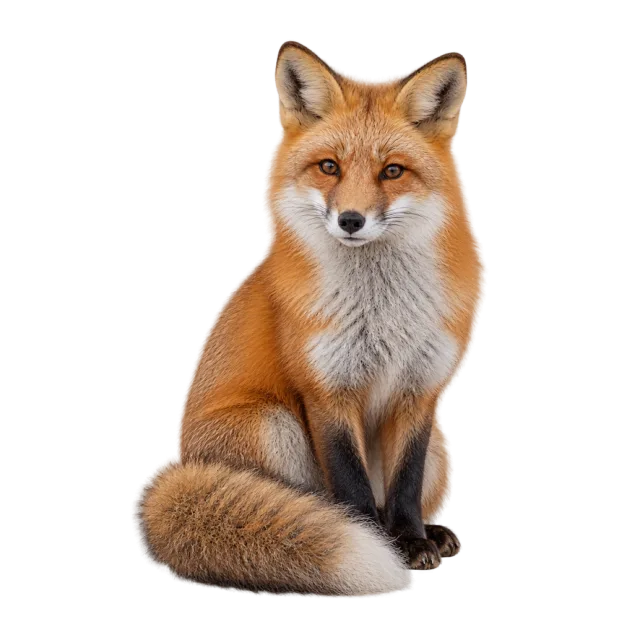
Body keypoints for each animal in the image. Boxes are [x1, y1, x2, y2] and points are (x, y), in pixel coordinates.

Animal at [132, 42, 487, 598]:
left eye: (392, 171)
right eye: (328, 167)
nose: (350, 220)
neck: (380, 311)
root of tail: (175, 467)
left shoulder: (420, 391)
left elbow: (404, 485)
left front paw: (409, 540)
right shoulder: (326, 389)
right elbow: (349, 482)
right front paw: (374, 541)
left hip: (441, 449)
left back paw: (432, 531)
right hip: (271, 424)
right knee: (305, 495)